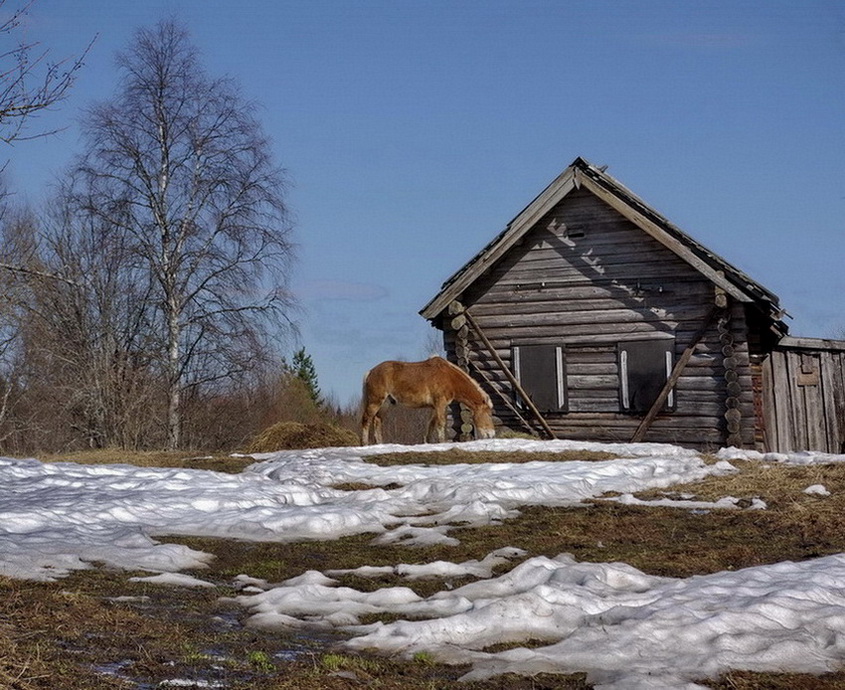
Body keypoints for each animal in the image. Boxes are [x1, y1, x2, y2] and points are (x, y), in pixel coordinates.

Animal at [358, 354, 494, 446]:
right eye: (488, 414)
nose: (491, 434)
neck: (449, 377)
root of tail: (371, 372)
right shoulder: (440, 404)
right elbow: (440, 424)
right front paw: (442, 442)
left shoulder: (434, 407)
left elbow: (431, 425)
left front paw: (428, 443)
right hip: (375, 402)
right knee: (366, 420)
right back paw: (365, 444)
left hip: (385, 404)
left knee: (377, 421)